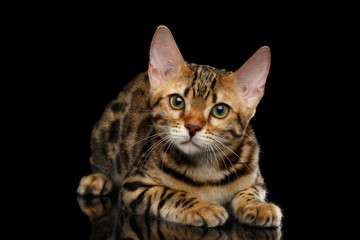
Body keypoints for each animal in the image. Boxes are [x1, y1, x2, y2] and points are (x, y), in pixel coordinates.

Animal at [77, 25, 282, 228]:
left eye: (220, 110)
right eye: (177, 101)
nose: (192, 127)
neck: (206, 168)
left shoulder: (257, 180)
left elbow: (249, 190)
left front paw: (257, 206)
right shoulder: (134, 186)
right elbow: (168, 193)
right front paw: (202, 207)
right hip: (105, 131)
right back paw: (97, 178)